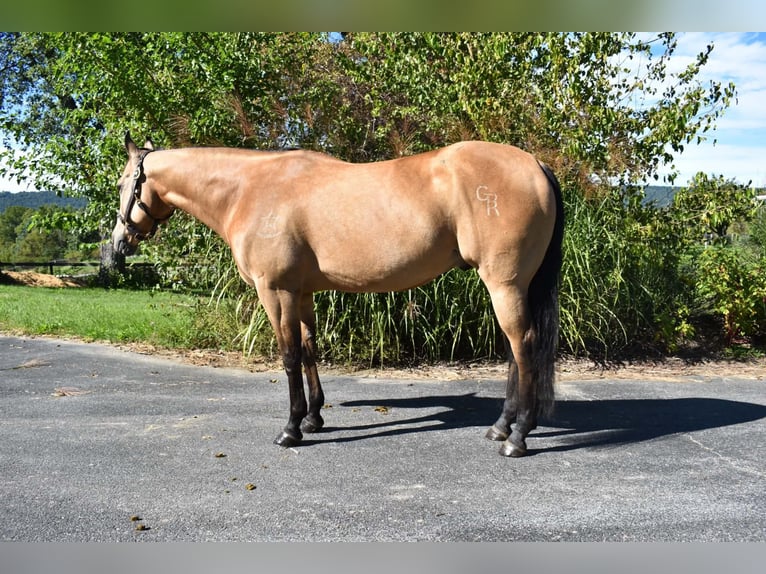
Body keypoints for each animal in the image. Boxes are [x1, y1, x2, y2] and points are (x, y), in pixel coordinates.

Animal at [112, 132, 564, 457]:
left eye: (122, 183)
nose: (118, 244)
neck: (248, 189)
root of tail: (535, 164)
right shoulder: (302, 293)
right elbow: (311, 349)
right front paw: (314, 418)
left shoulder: (275, 291)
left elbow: (289, 356)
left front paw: (291, 429)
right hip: (513, 287)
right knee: (515, 350)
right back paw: (501, 427)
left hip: (504, 284)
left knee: (523, 346)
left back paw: (517, 437)